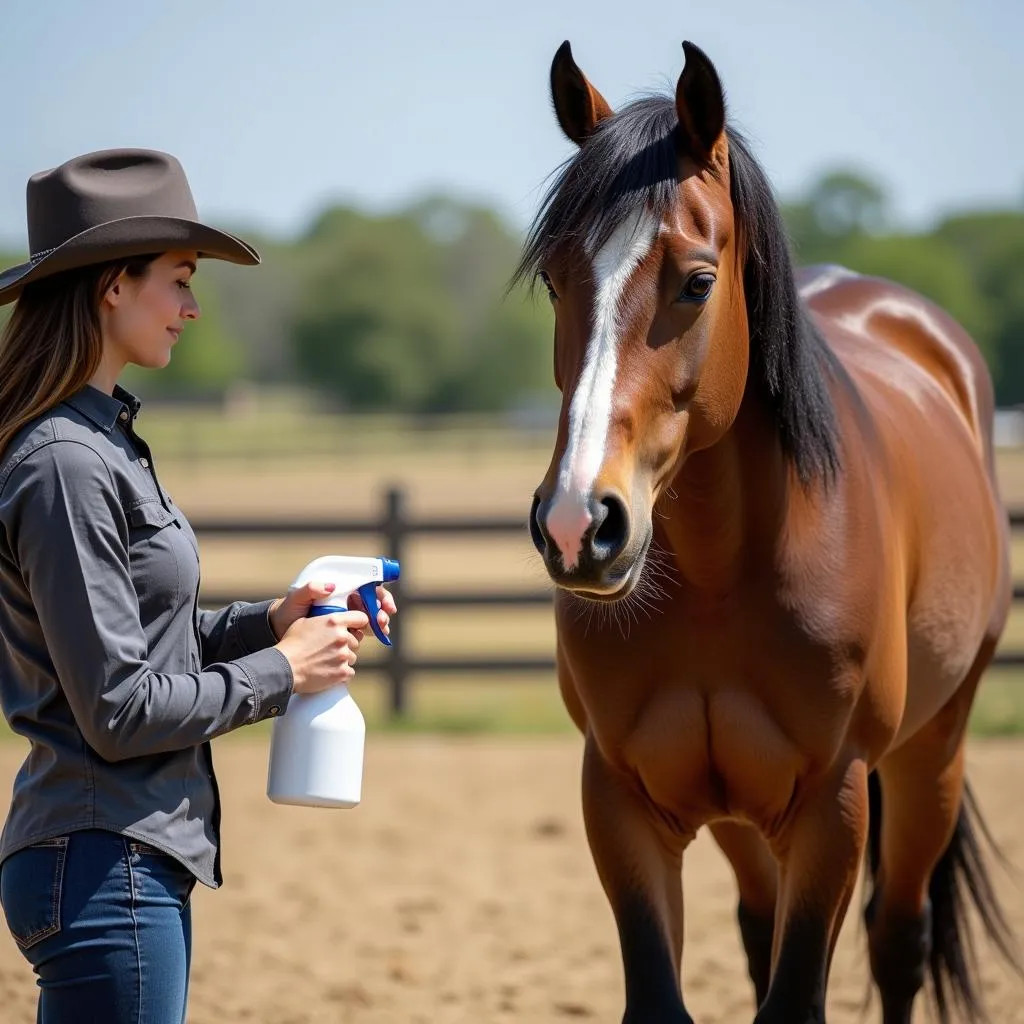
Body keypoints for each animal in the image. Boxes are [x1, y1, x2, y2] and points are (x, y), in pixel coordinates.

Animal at [516, 37, 1019, 1024]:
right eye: (556, 279)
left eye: (698, 281)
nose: (577, 523)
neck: (723, 578)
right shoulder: (621, 798)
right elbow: (665, 994)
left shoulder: (832, 808)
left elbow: (799, 996)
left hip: (929, 758)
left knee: (899, 942)